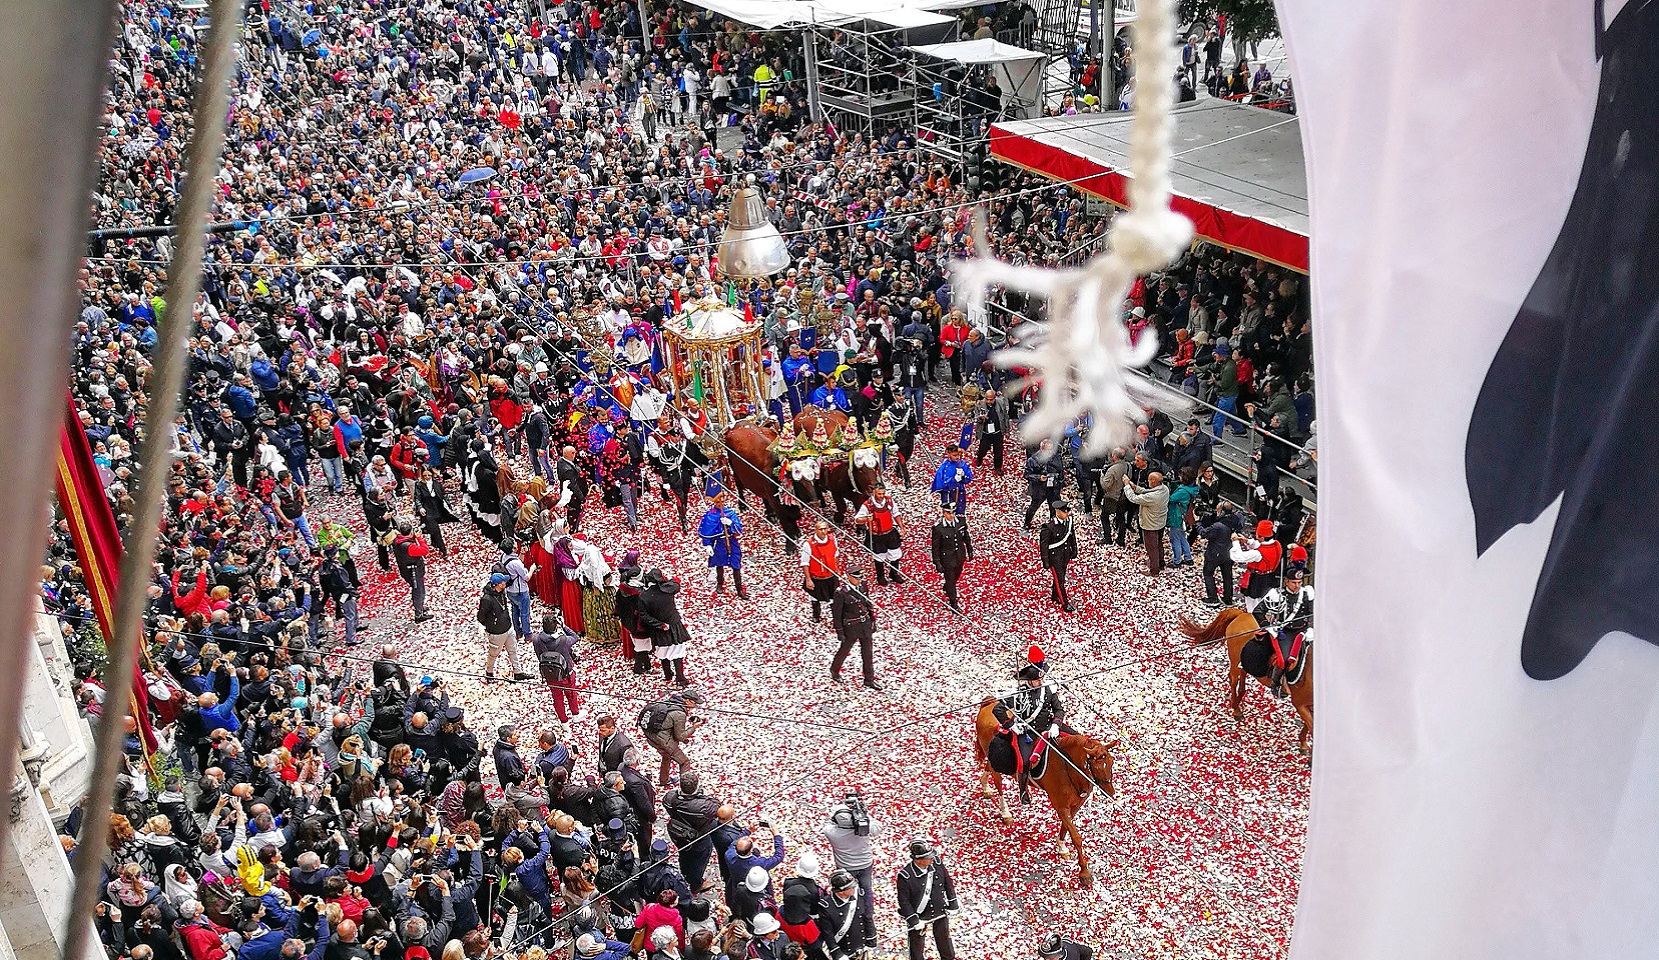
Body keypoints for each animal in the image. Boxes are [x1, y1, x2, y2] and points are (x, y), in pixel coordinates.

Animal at [968, 703, 1121, 888]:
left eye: (1111, 762)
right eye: (1096, 766)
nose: (1110, 792)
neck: (1069, 766)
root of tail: (988, 704)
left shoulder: (1075, 805)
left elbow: (1066, 827)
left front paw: (1062, 847)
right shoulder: (1061, 806)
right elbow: (1076, 836)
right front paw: (1084, 873)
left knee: (988, 768)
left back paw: (985, 786)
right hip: (998, 762)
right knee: (998, 781)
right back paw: (1005, 812)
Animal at [1187, 610, 1313, 759]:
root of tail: (1242, 614)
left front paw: (1304, 745)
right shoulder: (1300, 704)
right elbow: (1311, 725)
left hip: (1244, 664)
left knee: (1241, 682)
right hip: (1235, 660)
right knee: (1233, 679)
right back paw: (1236, 708)